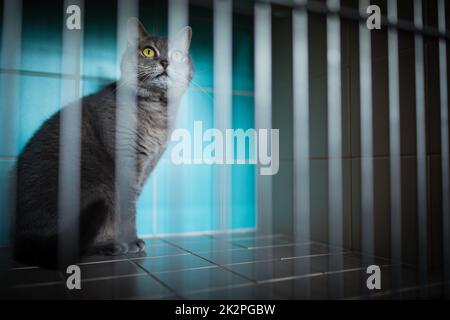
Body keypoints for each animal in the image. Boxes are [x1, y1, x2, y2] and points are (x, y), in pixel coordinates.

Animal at [13, 16, 193, 268]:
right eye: (148, 51)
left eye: (177, 54)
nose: (166, 62)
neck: (157, 111)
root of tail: (22, 237)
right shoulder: (127, 162)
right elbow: (128, 209)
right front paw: (132, 241)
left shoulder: (147, 166)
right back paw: (111, 246)